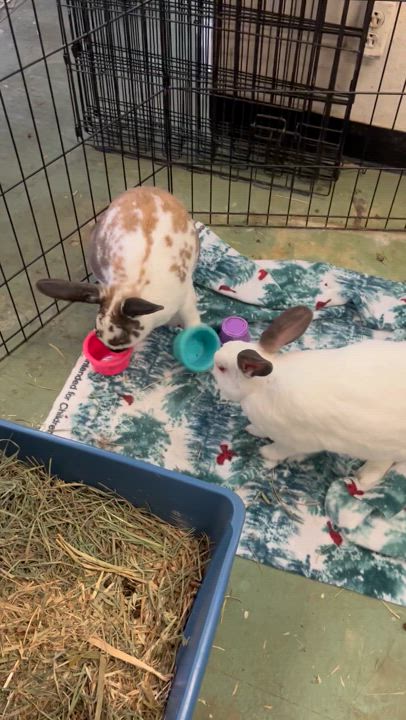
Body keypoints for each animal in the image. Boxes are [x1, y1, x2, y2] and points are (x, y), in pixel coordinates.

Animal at [36, 186, 200, 350]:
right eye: (97, 331)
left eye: (122, 337)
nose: (112, 350)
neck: (132, 288)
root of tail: (144, 188)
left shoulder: (185, 298)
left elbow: (191, 317)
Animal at [213, 305, 406, 491]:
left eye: (221, 368)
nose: (213, 360)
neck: (262, 385)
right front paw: (252, 429)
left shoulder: (295, 441)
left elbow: (279, 450)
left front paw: (265, 452)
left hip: (381, 447)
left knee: (383, 462)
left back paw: (364, 477)